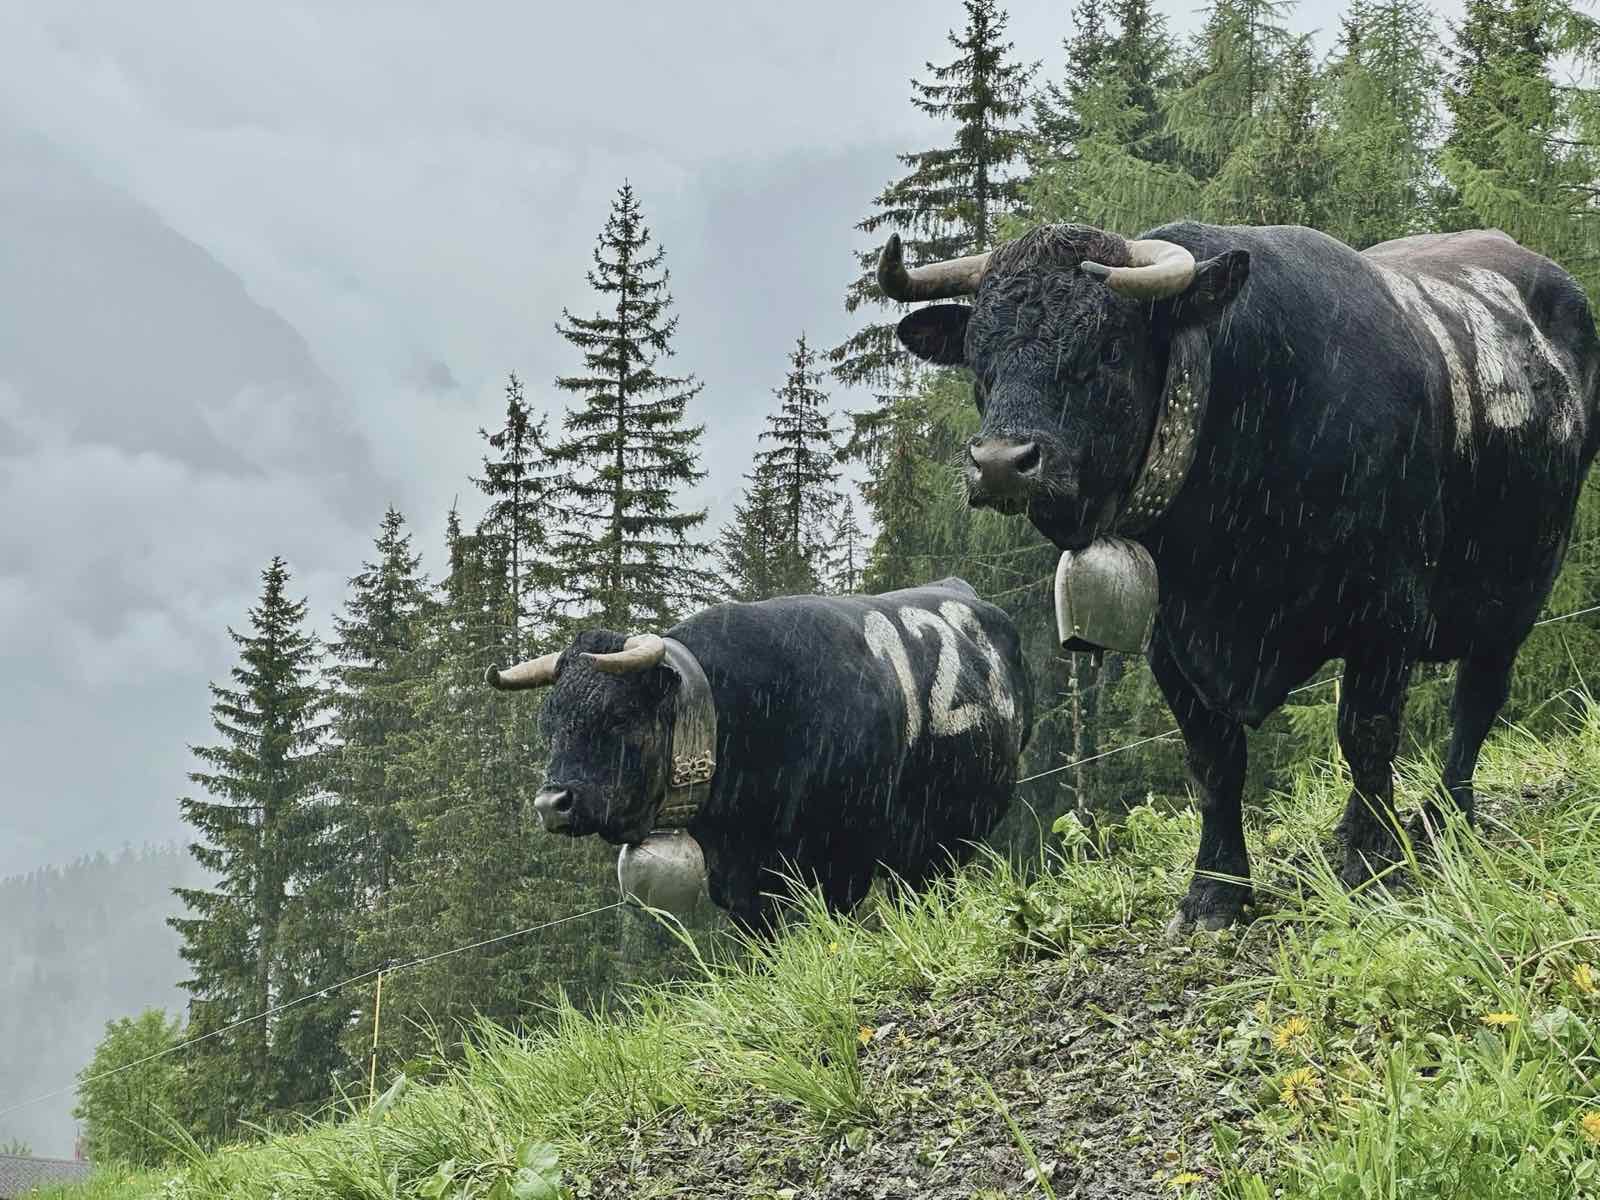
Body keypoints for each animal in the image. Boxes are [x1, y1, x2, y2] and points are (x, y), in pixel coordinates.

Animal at [485, 578, 1034, 933]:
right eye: (548, 723)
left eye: (619, 716)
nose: (552, 804)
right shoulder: (735, 872)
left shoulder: (845, 855)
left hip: (953, 832)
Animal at [876, 220, 1600, 933]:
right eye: (980, 356)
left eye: (1108, 348)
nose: (1001, 462)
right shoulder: (1170, 641)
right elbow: (1214, 762)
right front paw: (1215, 892)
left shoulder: (1387, 612)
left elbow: (1366, 734)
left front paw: (1374, 864)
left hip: (1520, 585)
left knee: (1476, 701)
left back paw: (1448, 813)